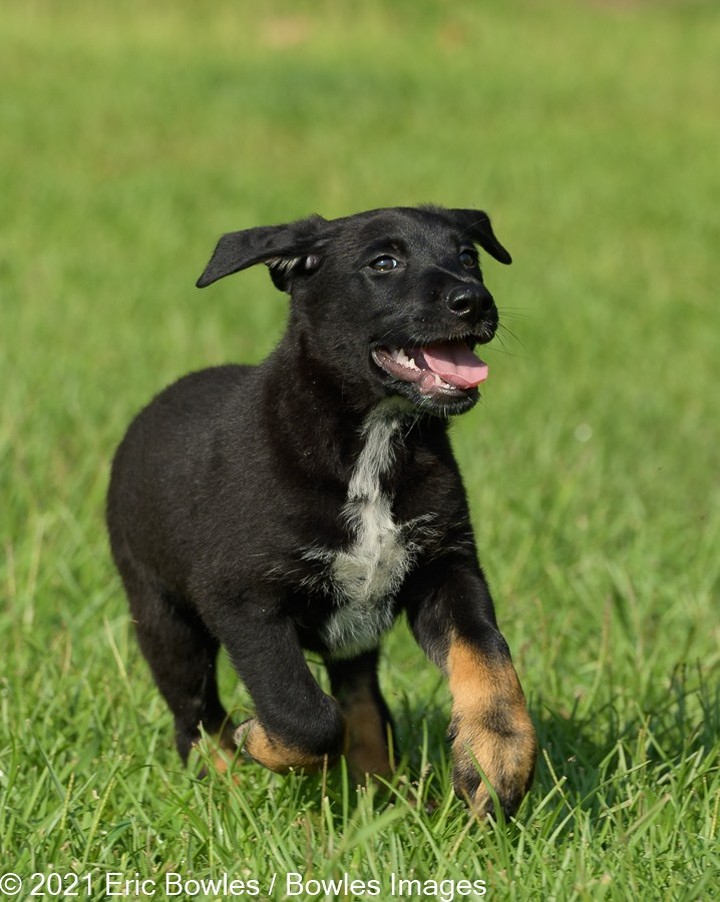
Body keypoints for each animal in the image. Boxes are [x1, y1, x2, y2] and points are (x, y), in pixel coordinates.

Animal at [105, 205, 536, 820]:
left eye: (467, 256)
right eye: (384, 263)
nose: (473, 301)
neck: (372, 441)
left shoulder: (448, 568)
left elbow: (489, 659)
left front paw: (496, 757)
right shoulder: (242, 599)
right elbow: (302, 714)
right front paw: (260, 741)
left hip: (353, 631)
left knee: (361, 701)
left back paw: (379, 791)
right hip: (163, 618)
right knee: (196, 719)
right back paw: (227, 792)